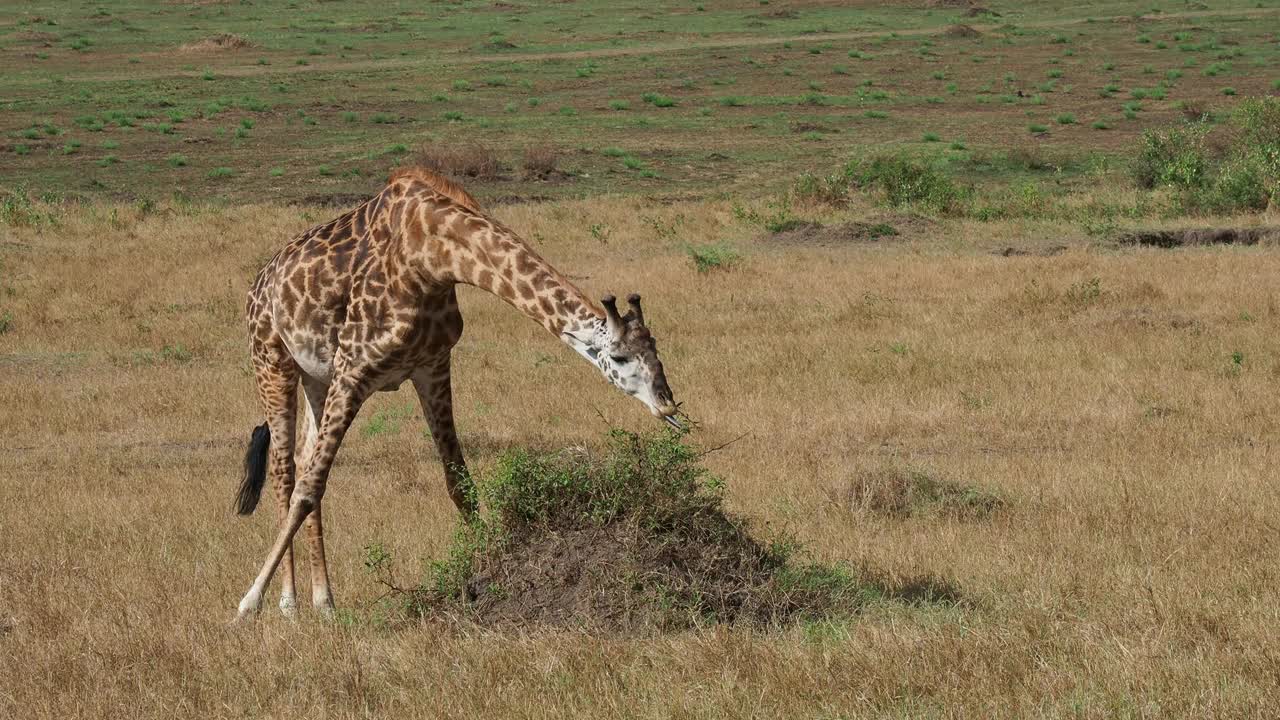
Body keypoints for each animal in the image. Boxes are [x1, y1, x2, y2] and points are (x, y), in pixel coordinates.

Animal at [235, 166, 686, 617]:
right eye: (622, 358)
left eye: (656, 349)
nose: (668, 405)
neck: (430, 257)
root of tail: (260, 280)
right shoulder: (354, 368)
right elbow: (308, 489)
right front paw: (248, 602)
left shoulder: (432, 367)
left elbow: (460, 486)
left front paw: (486, 573)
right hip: (271, 361)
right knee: (285, 471)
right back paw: (289, 603)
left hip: (317, 377)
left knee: (302, 457)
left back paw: (324, 601)